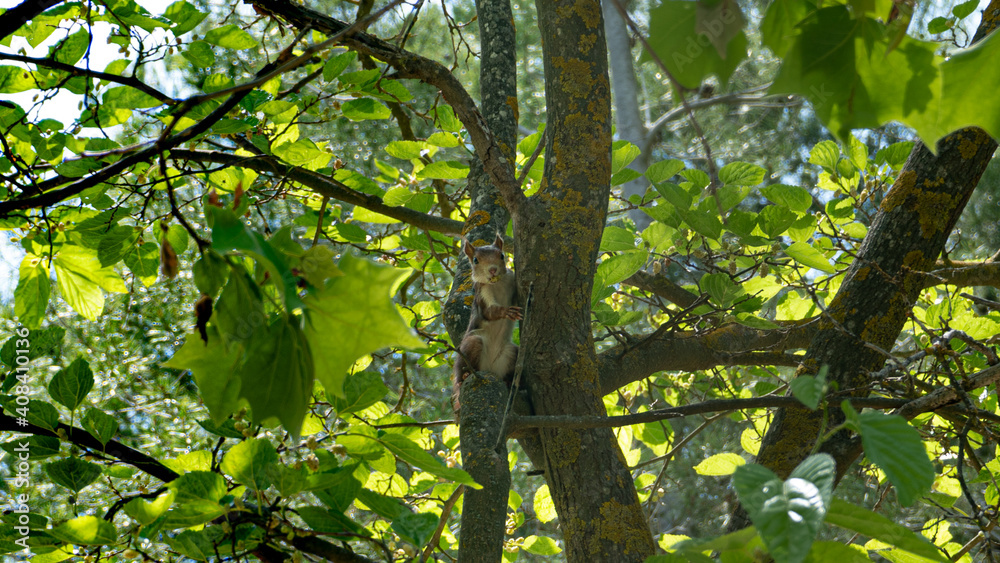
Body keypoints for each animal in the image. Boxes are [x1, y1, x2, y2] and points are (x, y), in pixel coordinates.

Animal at [452, 234, 522, 415]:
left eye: (502, 256)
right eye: (475, 260)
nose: (492, 270)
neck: (497, 284)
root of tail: (489, 368)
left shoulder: (511, 282)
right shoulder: (482, 294)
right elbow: (490, 312)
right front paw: (506, 312)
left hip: (511, 353)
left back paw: (508, 381)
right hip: (473, 343)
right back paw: (464, 377)